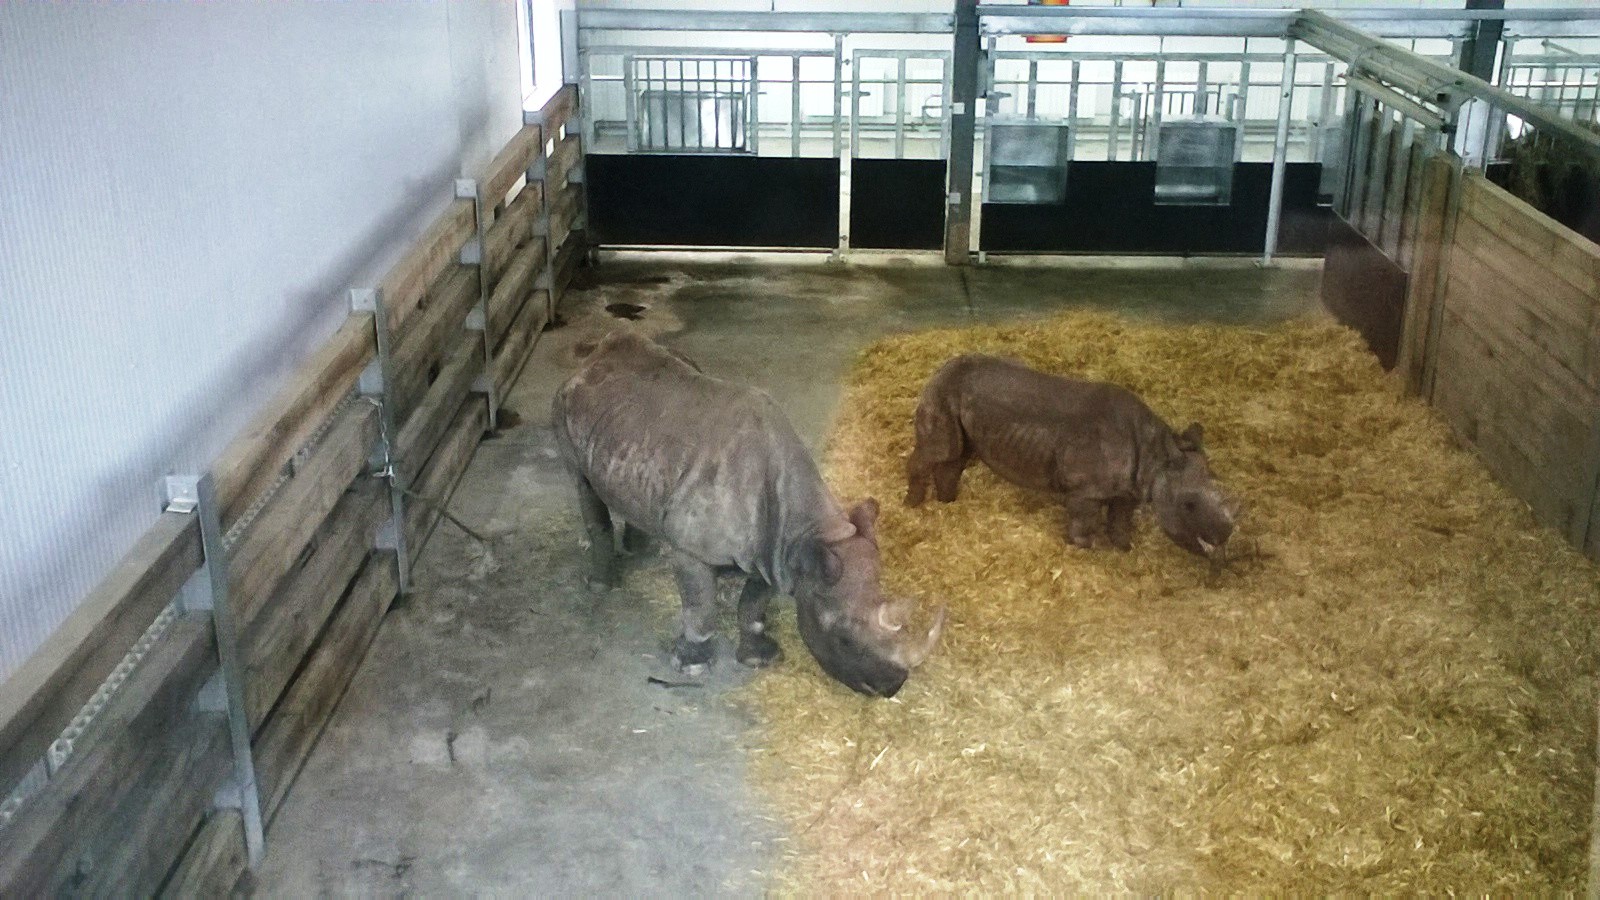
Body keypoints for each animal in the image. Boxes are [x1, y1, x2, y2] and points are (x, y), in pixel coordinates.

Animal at [553, 331, 946, 697]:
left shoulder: (775, 550)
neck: (812, 536)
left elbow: (753, 606)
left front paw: (759, 658)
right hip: (563, 406)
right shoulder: (693, 550)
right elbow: (700, 608)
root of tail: (594, 355)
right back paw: (602, 585)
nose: (892, 686)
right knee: (581, 481)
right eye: (844, 639)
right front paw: (692, 664)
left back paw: (642, 546)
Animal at [906, 354, 1236, 560]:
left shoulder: (1129, 487)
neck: (1157, 453)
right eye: (1189, 505)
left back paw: (947, 503)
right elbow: (1084, 521)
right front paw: (1085, 550)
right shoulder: (1085, 490)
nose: (1224, 536)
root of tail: (941, 367)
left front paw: (1124, 548)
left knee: (957, 455)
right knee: (943, 450)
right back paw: (912, 504)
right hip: (943, 391)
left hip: (959, 396)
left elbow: (1120, 519)